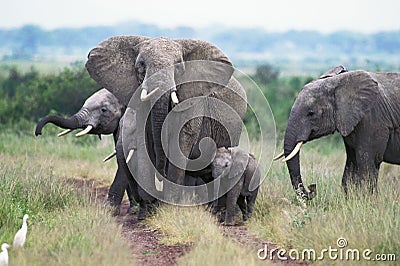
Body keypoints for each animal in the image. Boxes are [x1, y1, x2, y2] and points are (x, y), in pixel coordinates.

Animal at [85, 34, 247, 202]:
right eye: (141, 65)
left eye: (178, 68)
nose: (161, 174)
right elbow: (143, 141)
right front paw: (150, 205)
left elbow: (180, 140)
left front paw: (170, 204)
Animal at [276, 66, 400, 200]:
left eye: (311, 113)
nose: (312, 187)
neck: (338, 83)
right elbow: (351, 164)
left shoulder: (373, 120)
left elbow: (367, 163)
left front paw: (368, 201)